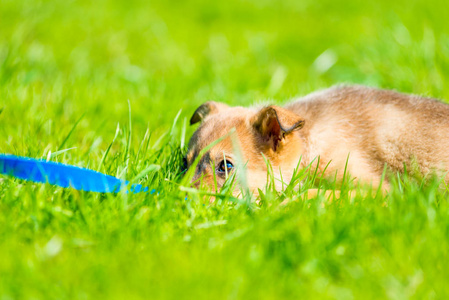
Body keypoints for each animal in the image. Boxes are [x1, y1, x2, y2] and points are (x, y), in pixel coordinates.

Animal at [184, 85, 448, 193]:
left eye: (225, 166)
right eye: (185, 163)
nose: (180, 199)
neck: (308, 147)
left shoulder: (377, 189)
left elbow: (313, 194)